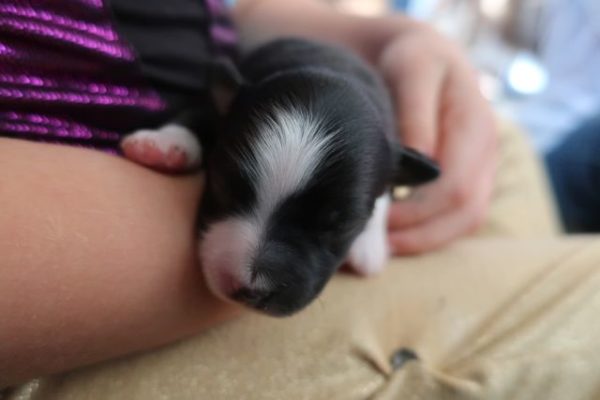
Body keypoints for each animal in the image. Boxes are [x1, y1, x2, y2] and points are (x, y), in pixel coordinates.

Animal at [123, 39, 440, 318]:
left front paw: (369, 246)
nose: (251, 290)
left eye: (342, 225)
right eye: (222, 184)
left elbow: (386, 189)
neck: (328, 68)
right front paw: (163, 145)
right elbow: (197, 113)